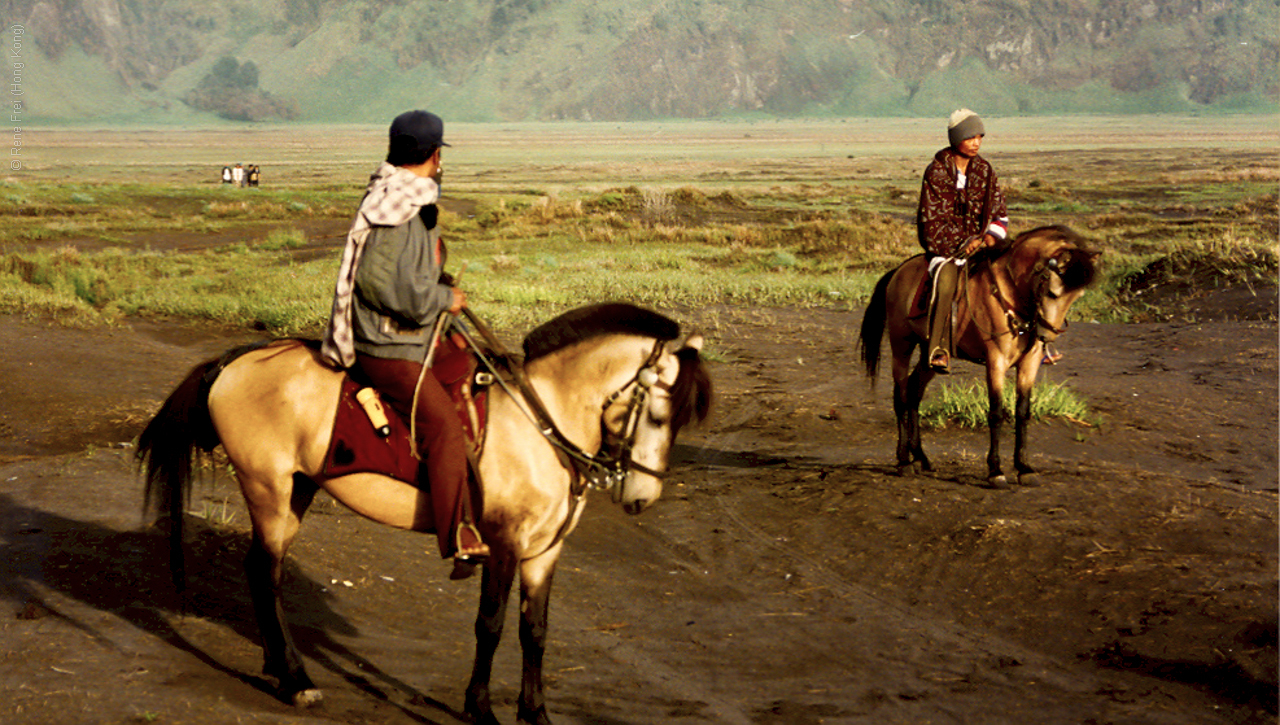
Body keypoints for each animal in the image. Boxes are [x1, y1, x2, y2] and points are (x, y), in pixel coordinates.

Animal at [136, 303, 716, 725]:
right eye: (659, 413)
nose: (643, 497)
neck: (539, 424)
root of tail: (232, 362)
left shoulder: (544, 553)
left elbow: (535, 630)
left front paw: (536, 713)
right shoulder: (502, 544)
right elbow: (491, 624)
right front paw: (480, 709)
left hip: (295, 490)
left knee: (262, 572)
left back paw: (280, 667)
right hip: (269, 491)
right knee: (266, 574)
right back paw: (296, 681)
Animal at [860, 225, 1100, 489]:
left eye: (1076, 297)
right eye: (1052, 292)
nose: (1046, 335)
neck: (1010, 293)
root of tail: (899, 271)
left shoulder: (1029, 363)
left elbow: (1023, 411)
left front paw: (1024, 467)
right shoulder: (996, 361)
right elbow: (996, 412)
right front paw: (995, 471)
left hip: (929, 354)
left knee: (914, 392)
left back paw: (921, 458)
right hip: (901, 344)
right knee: (901, 397)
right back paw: (903, 461)